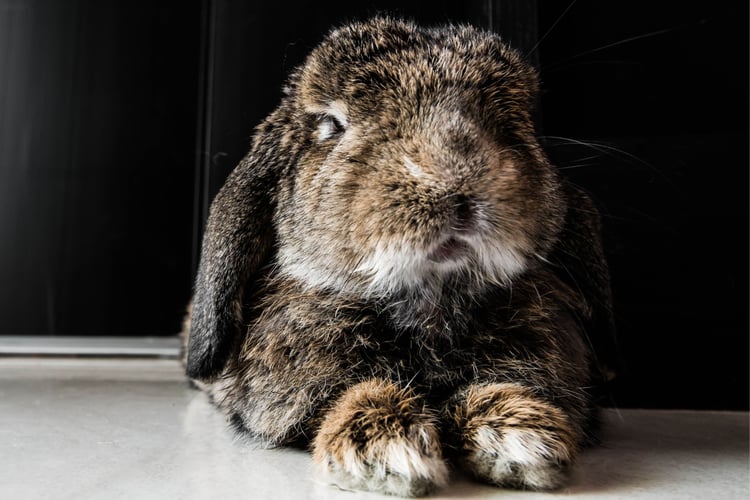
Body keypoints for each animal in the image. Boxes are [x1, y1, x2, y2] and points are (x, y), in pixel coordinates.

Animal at [182, 16, 617, 497]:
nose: (455, 178)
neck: (431, 305)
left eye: (515, 122)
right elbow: (346, 395)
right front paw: (388, 450)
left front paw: (524, 437)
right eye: (332, 124)